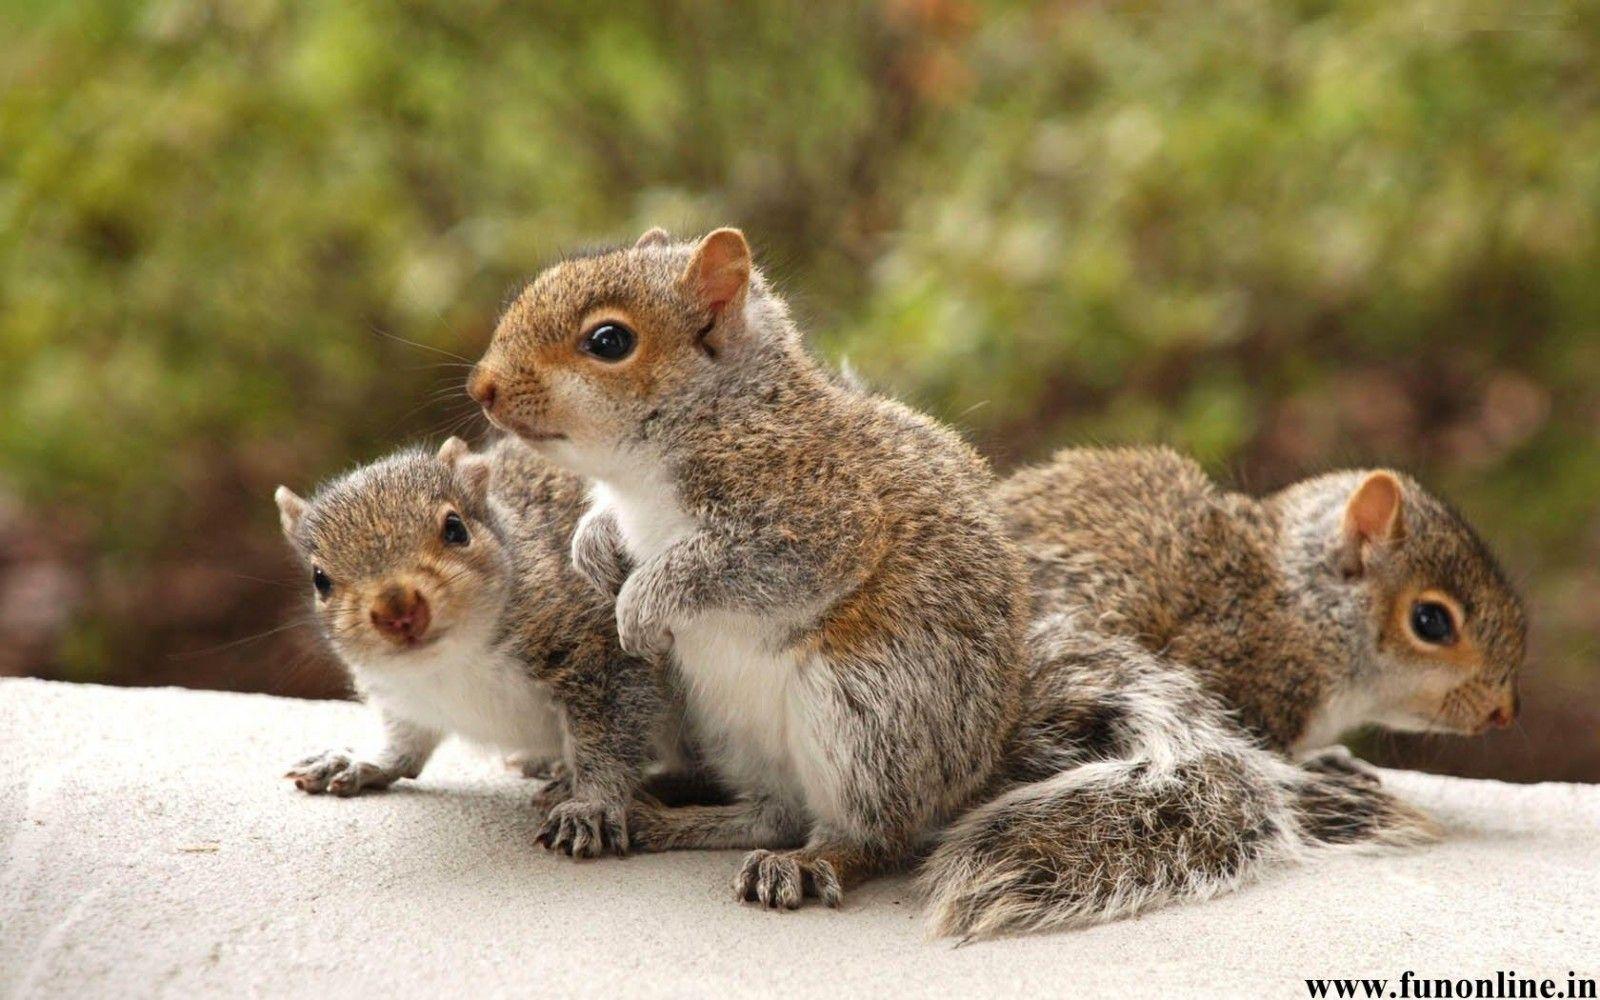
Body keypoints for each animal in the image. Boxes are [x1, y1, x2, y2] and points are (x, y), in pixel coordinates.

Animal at [274, 436, 671, 857]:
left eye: (455, 528)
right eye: (320, 579)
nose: (397, 610)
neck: (452, 661)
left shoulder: (598, 647)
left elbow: (610, 736)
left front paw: (590, 804)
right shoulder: (404, 696)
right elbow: (405, 742)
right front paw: (363, 760)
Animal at [467, 226, 1028, 910]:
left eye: (609, 342)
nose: (481, 388)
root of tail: (966, 780)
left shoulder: (821, 515)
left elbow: (739, 563)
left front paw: (641, 600)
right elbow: (601, 524)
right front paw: (593, 550)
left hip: (867, 712)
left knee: (872, 835)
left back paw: (812, 861)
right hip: (727, 722)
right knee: (773, 815)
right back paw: (671, 818)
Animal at [919, 446, 1527, 938]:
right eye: (1430, 621)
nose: (1503, 712)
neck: (1303, 609)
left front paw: (1335, 760)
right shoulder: (1231, 669)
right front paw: (1321, 773)